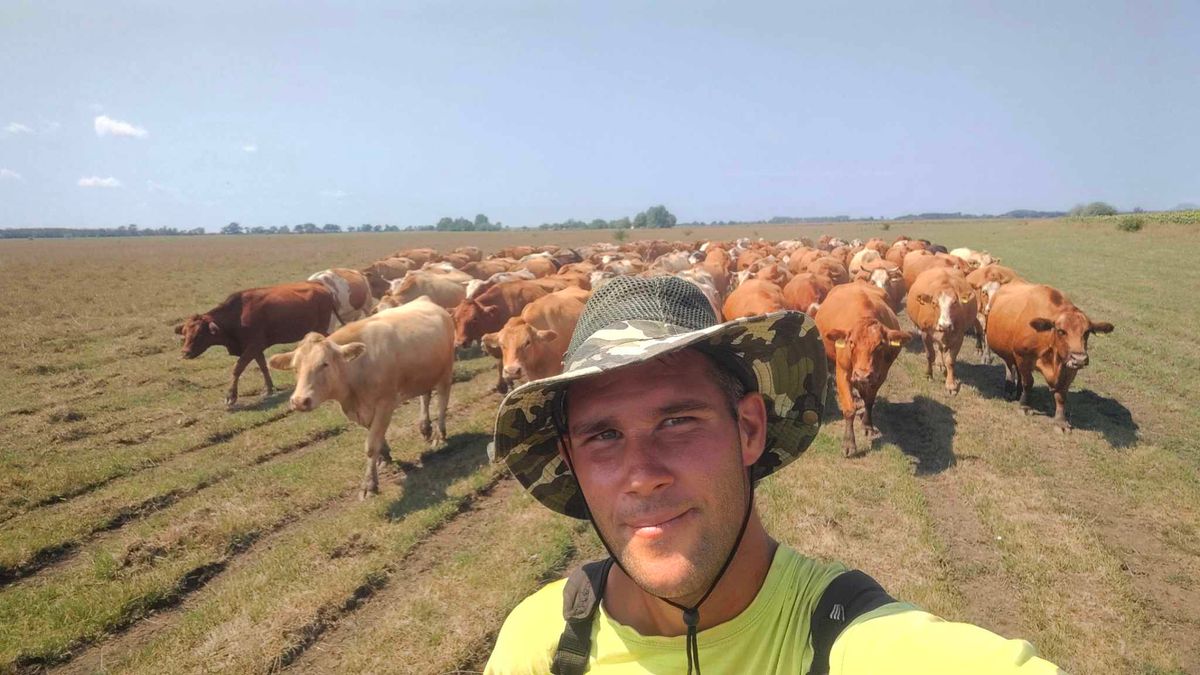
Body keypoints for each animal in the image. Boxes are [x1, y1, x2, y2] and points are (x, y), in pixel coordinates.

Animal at [174, 279, 336, 403]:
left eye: (200, 334)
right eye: (184, 333)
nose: (185, 353)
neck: (237, 316)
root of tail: (319, 285)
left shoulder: (253, 346)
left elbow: (237, 368)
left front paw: (231, 396)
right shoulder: (257, 348)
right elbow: (263, 367)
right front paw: (269, 389)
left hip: (321, 327)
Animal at [267, 296, 453, 497]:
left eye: (324, 364)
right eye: (295, 368)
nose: (300, 401)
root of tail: (424, 299)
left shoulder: (385, 404)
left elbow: (371, 445)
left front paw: (369, 484)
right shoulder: (357, 411)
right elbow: (376, 438)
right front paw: (384, 457)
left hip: (445, 371)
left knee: (442, 401)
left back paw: (439, 435)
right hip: (424, 374)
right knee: (425, 396)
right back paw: (425, 427)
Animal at [811, 281, 912, 454]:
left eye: (880, 345)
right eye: (851, 342)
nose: (862, 375)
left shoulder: (880, 375)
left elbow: (869, 400)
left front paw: (867, 424)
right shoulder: (842, 371)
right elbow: (849, 408)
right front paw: (849, 443)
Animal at [984, 281, 1113, 427]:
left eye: (1086, 332)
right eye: (1061, 331)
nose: (1079, 359)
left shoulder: (1069, 366)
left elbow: (1061, 394)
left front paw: (1060, 421)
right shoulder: (1022, 356)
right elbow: (1028, 382)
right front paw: (1024, 406)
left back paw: (1018, 393)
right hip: (1009, 353)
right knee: (1010, 367)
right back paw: (1010, 389)